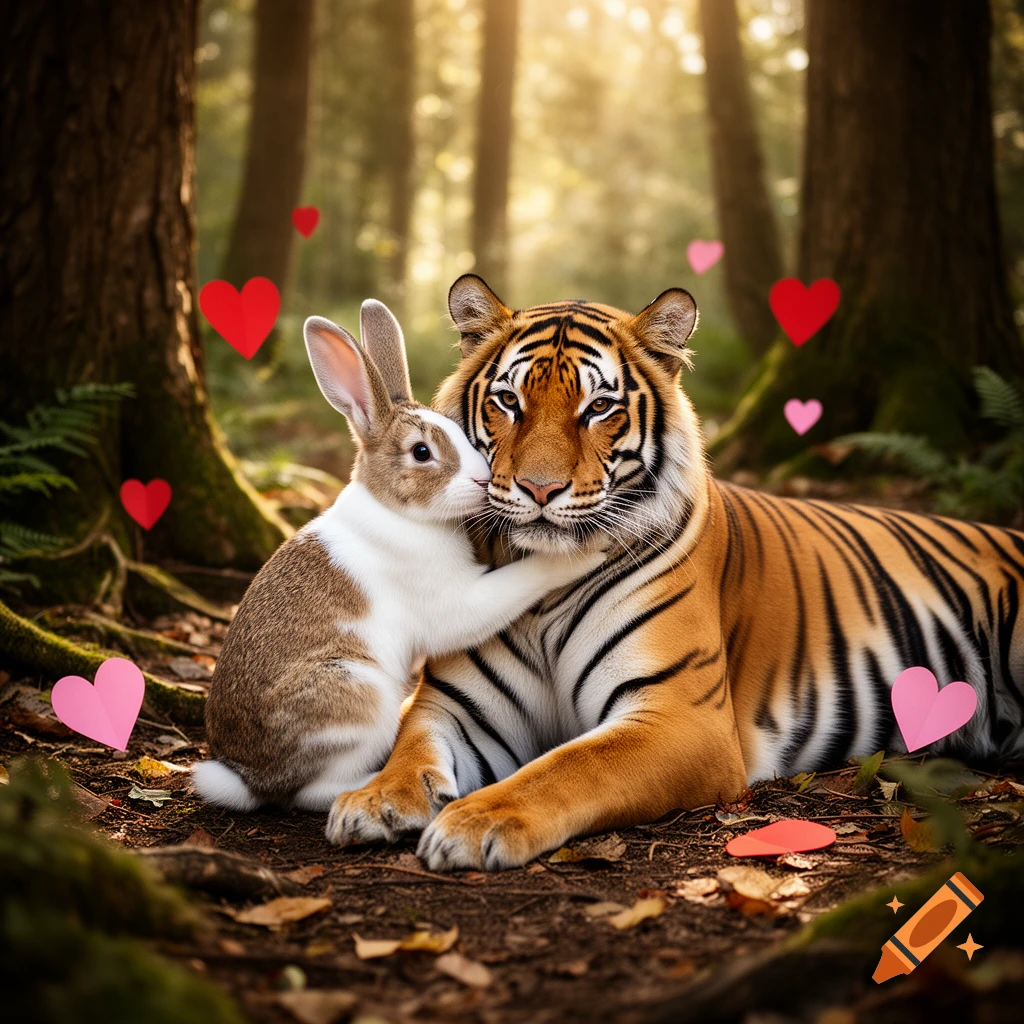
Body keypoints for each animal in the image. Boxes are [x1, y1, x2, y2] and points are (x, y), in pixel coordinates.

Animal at [192, 300, 606, 813]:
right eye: (421, 452)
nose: (482, 479)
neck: (400, 513)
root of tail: (249, 777)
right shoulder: (453, 602)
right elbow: (513, 585)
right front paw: (585, 552)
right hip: (358, 694)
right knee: (309, 791)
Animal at [325, 273, 1024, 871]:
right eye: (508, 402)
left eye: (597, 408)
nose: (539, 488)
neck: (545, 580)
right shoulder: (455, 703)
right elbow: (409, 748)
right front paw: (371, 801)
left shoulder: (680, 716)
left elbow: (571, 766)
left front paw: (476, 822)